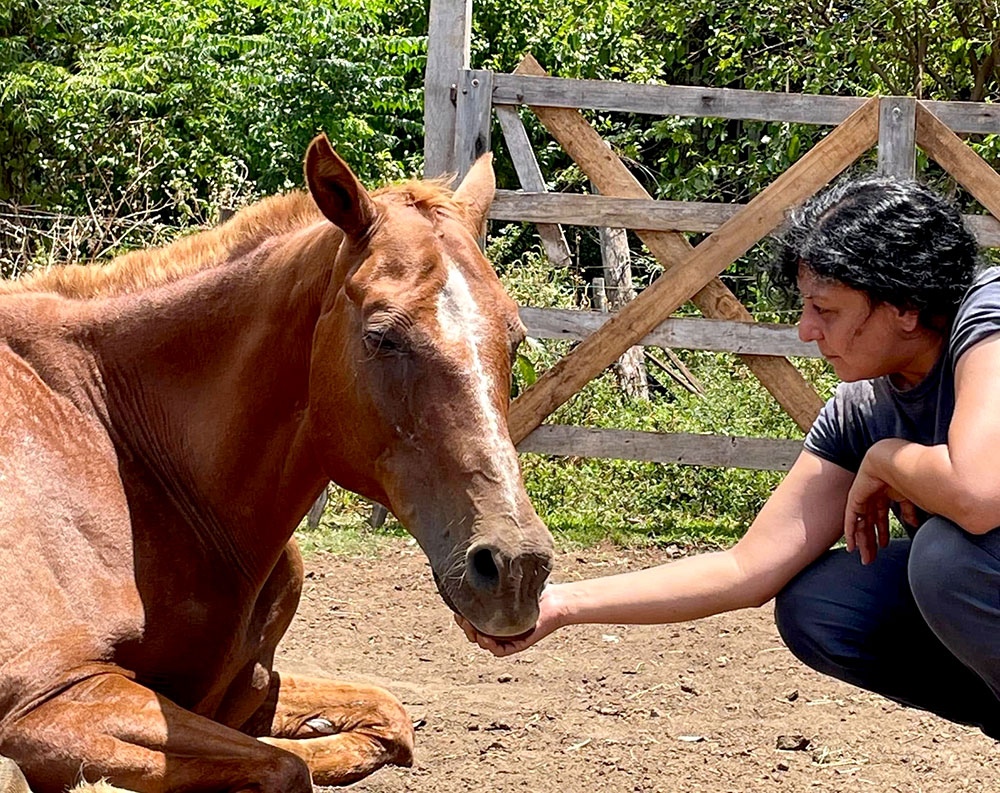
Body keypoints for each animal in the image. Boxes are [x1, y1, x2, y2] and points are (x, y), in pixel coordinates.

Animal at [0, 135, 554, 792]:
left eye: (514, 337)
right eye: (381, 336)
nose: (515, 568)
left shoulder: (248, 685)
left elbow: (383, 721)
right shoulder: (50, 701)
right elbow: (287, 768)